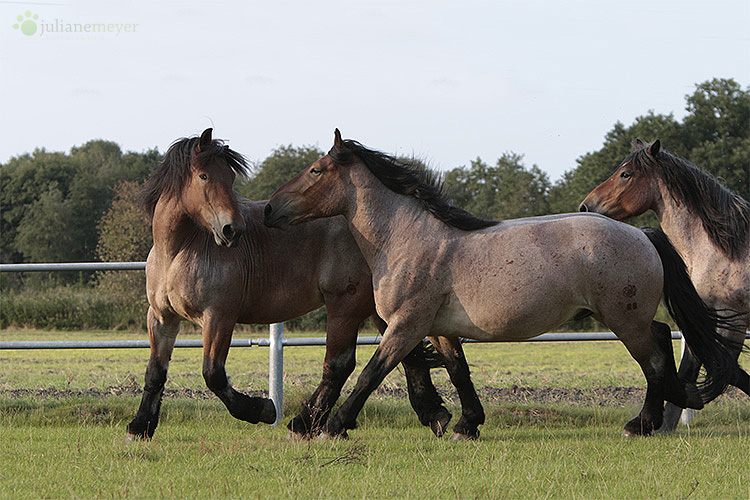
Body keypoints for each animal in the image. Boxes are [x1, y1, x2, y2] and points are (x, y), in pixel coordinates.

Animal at [125, 129, 482, 442]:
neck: (179, 251)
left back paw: (307, 423)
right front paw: (140, 427)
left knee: (343, 364)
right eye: (204, 177)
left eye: (229, 179)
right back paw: (440, 416)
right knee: (417, 354)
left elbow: (213, 375)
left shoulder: (219, 317)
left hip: (349, 305)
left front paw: (262, 409)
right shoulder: (161, 318)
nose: (232, 230)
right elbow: (155, 373)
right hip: (388, 310)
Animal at [580, 139, 748, 432]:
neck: (726, 248)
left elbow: (722, 367)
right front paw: (661, 421)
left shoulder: (732, 317)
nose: (585, 206)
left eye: (626, 174)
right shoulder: (704, 317)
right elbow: (693, 367)